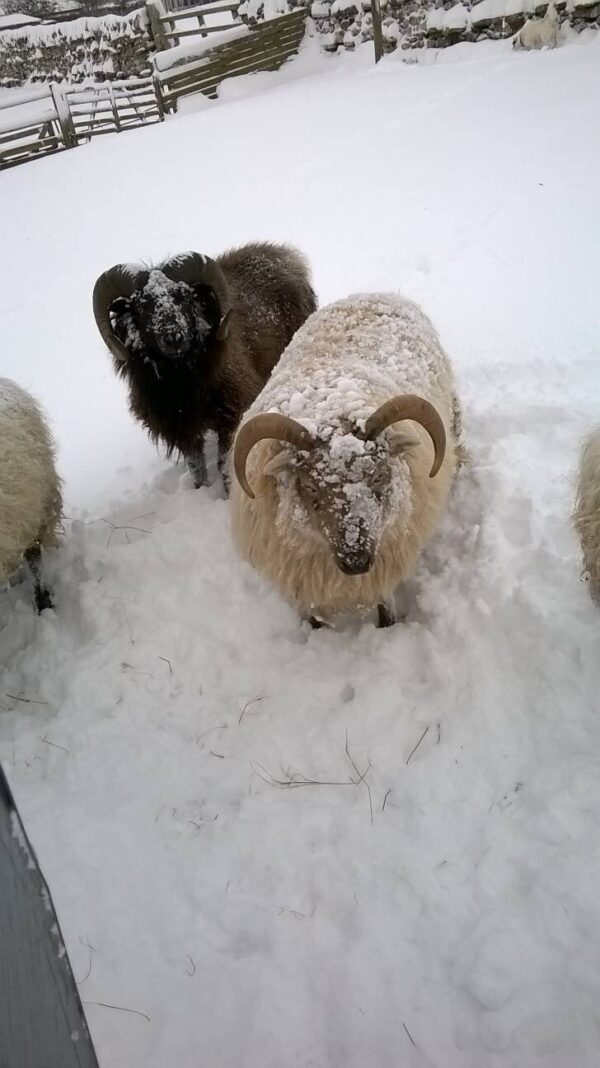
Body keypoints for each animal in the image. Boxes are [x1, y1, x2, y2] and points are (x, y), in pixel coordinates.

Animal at [91, 242, 316, 489]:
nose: (173, 336)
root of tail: (284, 253)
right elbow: (196, 468)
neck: (181, 379)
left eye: (183, 296)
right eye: (141, 304)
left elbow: (224, 464)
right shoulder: (182, 428)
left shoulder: (233, 413)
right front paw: (201, 488)